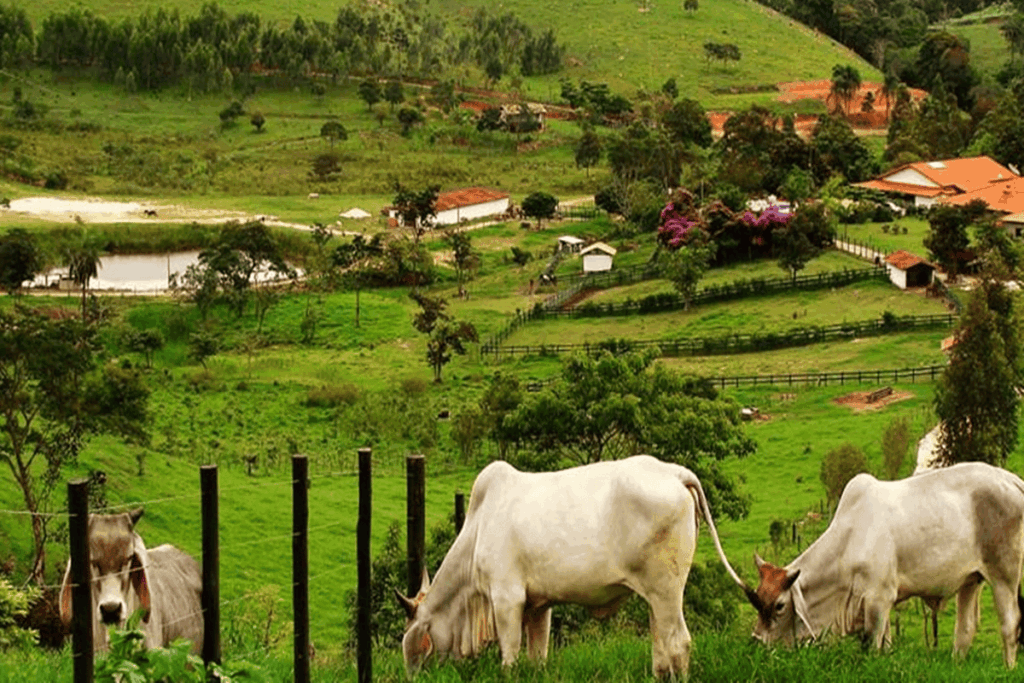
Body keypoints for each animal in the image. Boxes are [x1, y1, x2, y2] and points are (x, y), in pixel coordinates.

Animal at [394, 455, 750, 679]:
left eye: (411, 650)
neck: (479, 525)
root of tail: (674, 473)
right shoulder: (539, 606)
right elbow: (537, 657)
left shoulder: (507, 599)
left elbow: (509, 656)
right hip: (656, 597)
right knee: (660, 645)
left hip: (667, 590)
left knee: (678, 644)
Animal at [746, 462, 1024, 668]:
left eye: (780, 606)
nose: (756, 643)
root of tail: (1012, 480)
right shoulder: (882, 602)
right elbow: (886, 646)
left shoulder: (878, 600)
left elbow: (871, 646)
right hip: (971, 580)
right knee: (965, 628)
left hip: (1004, 575)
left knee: (1009, 624)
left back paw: (1008, 668)